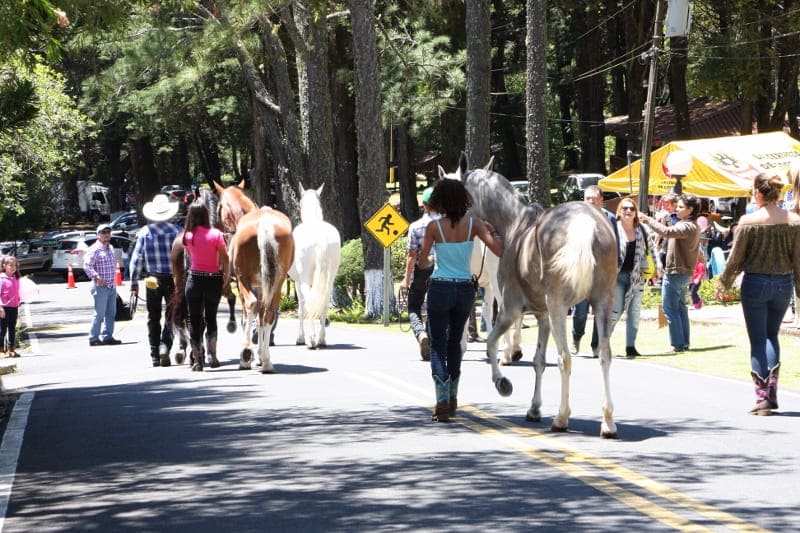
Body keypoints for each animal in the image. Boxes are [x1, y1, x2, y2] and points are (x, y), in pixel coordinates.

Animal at [214, 181, 296, 372]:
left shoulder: (245, 284)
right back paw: (266, 362)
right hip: (278, 282)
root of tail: (264, 223)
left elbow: (247, 317)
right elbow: (260, 316)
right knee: (269, 313)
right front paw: (260, 355)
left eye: (219, 207)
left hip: (244, 279)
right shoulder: (262, 285)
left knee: (251, 305)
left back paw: (245, 356)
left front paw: (250, 355)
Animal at [290, 184, 340, 350]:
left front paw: (300, 338)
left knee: (310, 301)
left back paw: (311, 340)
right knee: (323, 302)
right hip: (330, 278)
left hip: (305, 279)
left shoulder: (297, 282)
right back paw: (321, 339)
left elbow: (301, 308)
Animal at [444, 156, 620, 438]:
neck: (515, 225)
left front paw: (502, 382)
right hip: (603, 301)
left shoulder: (510, 309)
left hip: (559, 306)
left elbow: (492, 342)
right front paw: (534, 408)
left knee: (564, 358)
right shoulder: (542, 314)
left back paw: (561, 418)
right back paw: (608, 421)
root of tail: (587, 225)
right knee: (604, 355)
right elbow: (539, 361)